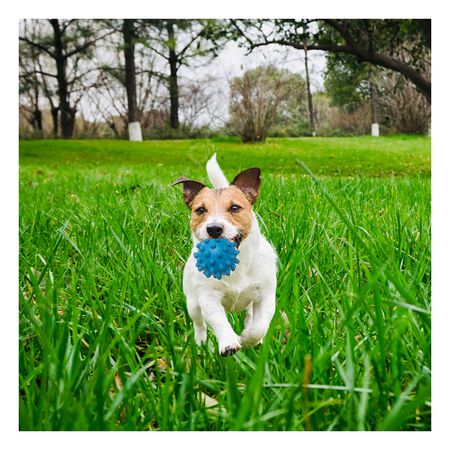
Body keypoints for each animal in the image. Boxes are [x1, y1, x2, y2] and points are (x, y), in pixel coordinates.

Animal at [173, 154, 276, 356]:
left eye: (235, 208)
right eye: (200, 210)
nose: (214, 228)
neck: (237, 265)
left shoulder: (266, 296)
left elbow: (259, 326)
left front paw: (249, 338)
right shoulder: (208, 298)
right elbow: (219, 321)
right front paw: (229, 342)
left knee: (251, 314)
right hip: (192, 303)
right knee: (199, 324)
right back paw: (201, 344)